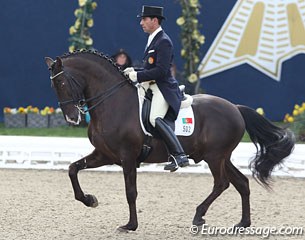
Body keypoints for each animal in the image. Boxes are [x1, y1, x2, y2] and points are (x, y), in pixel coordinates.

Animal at [45, 50, 294, 232]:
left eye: (63, 83)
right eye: (53, 86)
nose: (72, 118)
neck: (113, 102)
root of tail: (235, 107)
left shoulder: (127, 156)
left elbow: (130, 191)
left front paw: (130, 225)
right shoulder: (104, 154)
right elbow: (72, 169)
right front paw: (89, 200)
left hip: (215, 157)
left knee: (222, 183)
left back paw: (199, 216)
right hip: (221, 156)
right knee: (241, 182)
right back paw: (242, 224)